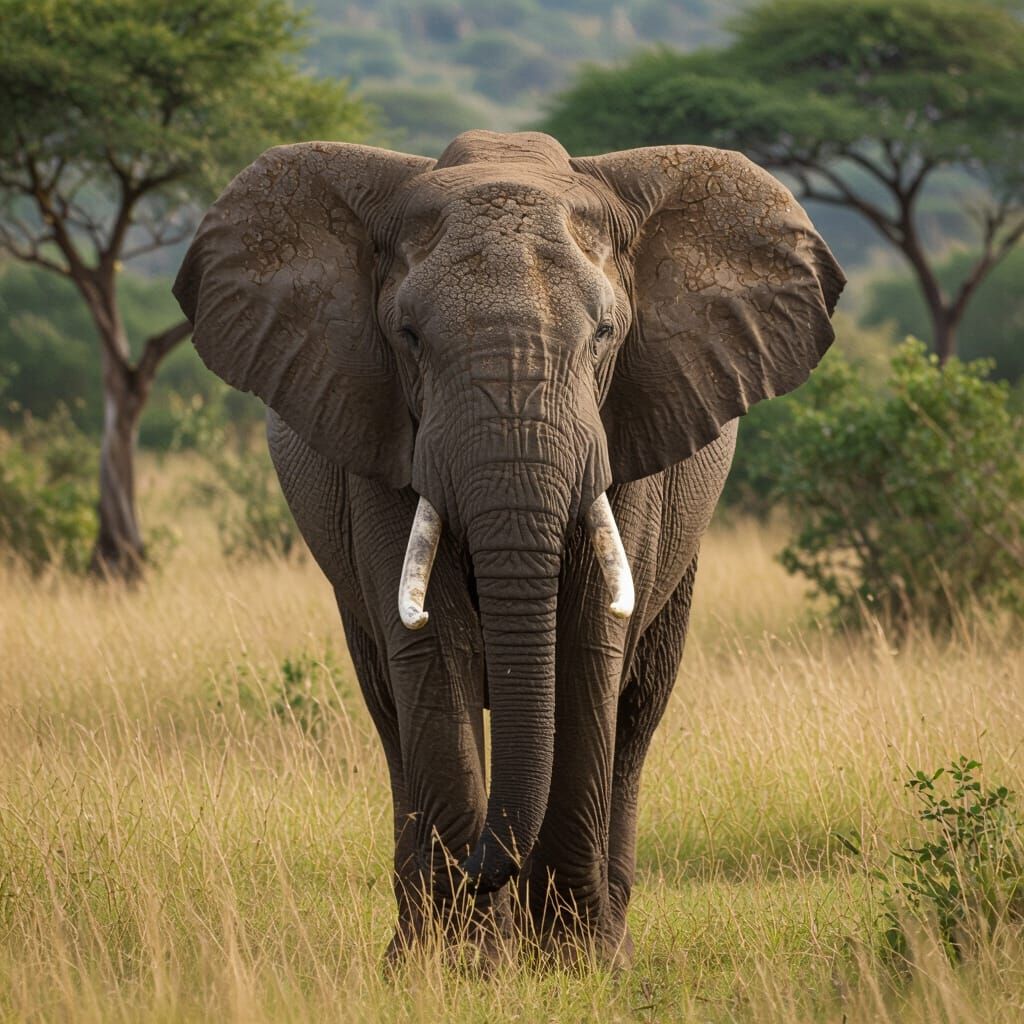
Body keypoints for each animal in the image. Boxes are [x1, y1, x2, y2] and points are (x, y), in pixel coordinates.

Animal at [173, 130, 843, 966]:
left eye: (605, 335)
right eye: (409, 337)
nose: (477, 864)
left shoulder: (626, 429)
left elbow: (588, 649)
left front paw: (573, 963)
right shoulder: (383, 431)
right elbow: (434, 649)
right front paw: (462, 967)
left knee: (638, 712)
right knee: (389, 709)